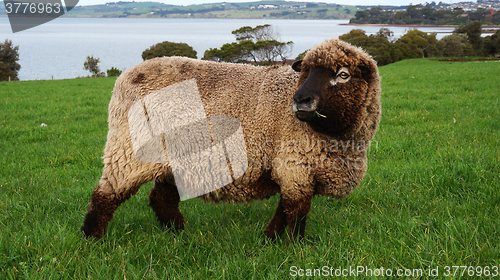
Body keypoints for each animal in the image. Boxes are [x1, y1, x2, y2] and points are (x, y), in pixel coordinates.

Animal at [82, 38, 380, 241]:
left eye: (343, 75)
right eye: (304, 71)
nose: (301, 100)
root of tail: (126, 75)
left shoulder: (297, 170)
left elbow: (287, 208)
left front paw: (271, 239)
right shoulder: (295, 166)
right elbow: (296, 211)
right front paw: (293, 245)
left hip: (173, 158)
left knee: (161, 198)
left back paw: (180, 233)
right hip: (128, 150)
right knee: (106, 194)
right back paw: (92, 237)